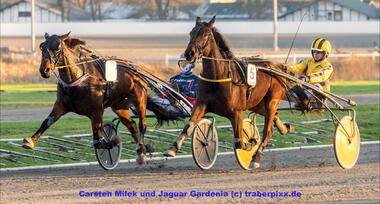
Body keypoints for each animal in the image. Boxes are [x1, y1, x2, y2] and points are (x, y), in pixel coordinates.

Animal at [21, 32, 150, 165]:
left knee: (142, 125)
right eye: (42, 47)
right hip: (119, 106)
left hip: (140, 99)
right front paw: (30, 141)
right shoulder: (60, 105)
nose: (44, 70)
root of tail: (135, 68)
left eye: (57, 48)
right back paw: (140, 152)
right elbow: (47, 122)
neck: (77, 79)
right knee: (132, 125)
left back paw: (141, 151)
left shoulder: (97, 110)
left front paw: (112, 142)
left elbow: (98, 141)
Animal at [162, 16, 292, 168]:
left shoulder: (236, 111)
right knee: (273, 121)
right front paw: (172, 148)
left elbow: (239, 141)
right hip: (257, 104)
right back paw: (284, 128)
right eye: (191, 32)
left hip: (272, 101)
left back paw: (256, 158)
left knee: (267, 131)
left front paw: (251, 143)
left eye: (205, 34)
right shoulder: (201, 104)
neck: (217, 76)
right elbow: (189, 126)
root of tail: (275, 67)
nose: (190, 53)